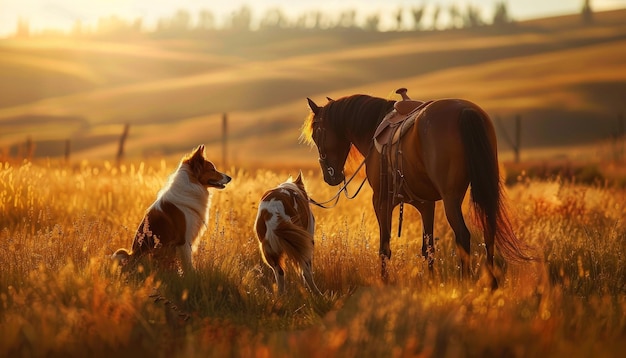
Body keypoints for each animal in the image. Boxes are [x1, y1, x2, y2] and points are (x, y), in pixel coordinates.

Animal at [111, 145, 229, 274]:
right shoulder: (184, 239)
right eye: (212, 169)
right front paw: (191, 275)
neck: (192, 184)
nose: (230, 178)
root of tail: (131, 258)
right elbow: (188, 263)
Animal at [302, 91, 532, 288]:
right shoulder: (426, 204)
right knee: (489, 231)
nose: (330, 176)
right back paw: (492, 282)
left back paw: (465, 282)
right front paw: (431, 281)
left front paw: (385, 282)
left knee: (463, 236)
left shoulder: (381, 201)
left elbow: (384, 247)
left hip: (451, 198)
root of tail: (466, 111)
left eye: (316, 134)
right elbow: (427, 248)